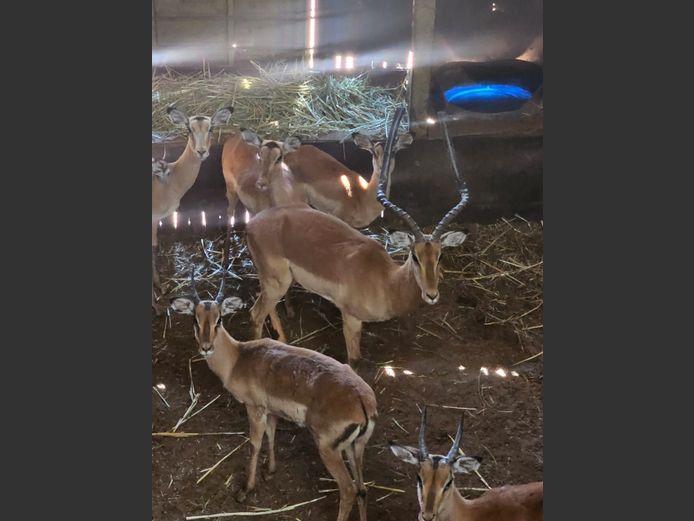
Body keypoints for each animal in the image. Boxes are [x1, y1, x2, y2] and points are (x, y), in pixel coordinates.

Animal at [170, 271, 378, 521]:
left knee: (348, 490)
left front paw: (245, 490)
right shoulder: (271, 411)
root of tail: (362, 401)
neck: (238, 359)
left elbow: (254, 444)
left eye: (219, 319)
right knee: (362, 489)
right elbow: (271, 435)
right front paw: (270, 471)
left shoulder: (254, 408)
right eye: (195, 318)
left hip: (329, 450)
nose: (206, 347)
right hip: (354, 448)